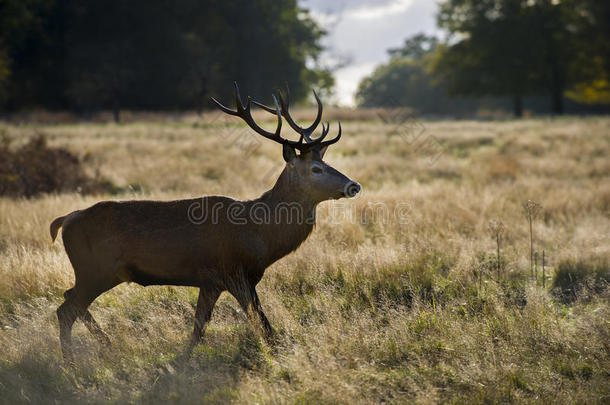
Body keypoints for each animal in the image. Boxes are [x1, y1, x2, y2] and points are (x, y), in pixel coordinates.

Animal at [52, 83, 358, 360]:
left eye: (326, 164)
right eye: (316, 169)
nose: (353, 185)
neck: (260, 234)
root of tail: (66, 220)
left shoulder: (212, 281)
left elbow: (200, 328)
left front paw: (183, 361)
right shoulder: (233, 273)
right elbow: (263, 325)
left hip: (98, 272)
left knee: (69, 298)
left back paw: (105, 343)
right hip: (96, 268)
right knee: (66, 309)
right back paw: (70, 361)